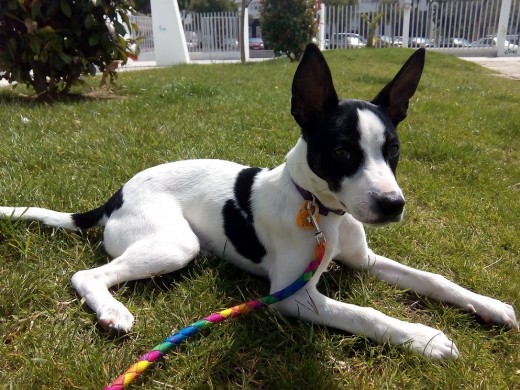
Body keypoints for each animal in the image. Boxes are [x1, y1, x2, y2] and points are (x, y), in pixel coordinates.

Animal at [2, 43, 516, 360]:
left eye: (392, 150)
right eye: (342, 152)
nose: (393, 204)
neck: (320, 211)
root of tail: (119, 192)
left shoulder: (364, 259)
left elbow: (433, 278)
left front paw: (487, 304)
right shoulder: (294, 295)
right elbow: (366, 314)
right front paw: (424, 337)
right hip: (174, 244)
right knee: (87, 274)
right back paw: (111, 310)